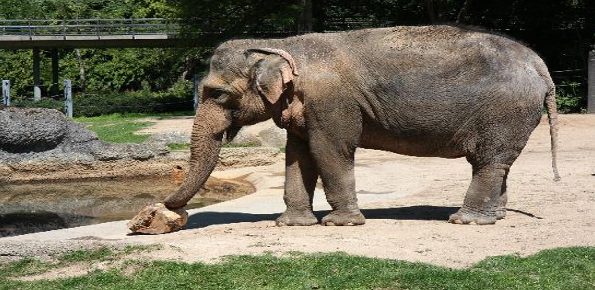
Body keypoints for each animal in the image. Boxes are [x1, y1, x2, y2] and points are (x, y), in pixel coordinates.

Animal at [162, 25, 560, 227]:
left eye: (218, 94)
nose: (167, 209)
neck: (281, 45)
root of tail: (540, 65)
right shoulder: (304, 107)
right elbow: (298, 156)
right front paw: (291, 225)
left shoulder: (331, 101)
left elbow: (330, 150)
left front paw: (340, 223)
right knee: (499, 163)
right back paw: (495, 216)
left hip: (504, 111)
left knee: (487, 162)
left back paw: (465, 221)